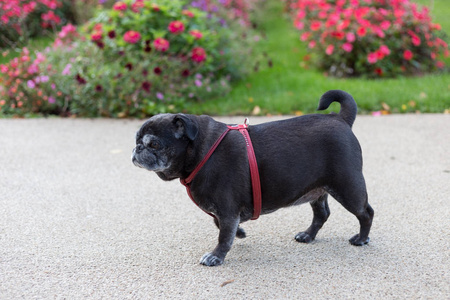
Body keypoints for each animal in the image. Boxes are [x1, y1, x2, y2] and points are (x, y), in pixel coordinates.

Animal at [132, 90, 374, 266]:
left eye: (154, 144)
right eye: (137, 139)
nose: (137, 149)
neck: (202, 151)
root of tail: (340, 119)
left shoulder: (228, 209)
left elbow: (223, 235)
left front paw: (216, 256)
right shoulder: (225, 212)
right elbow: (220, 225)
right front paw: (239, 233)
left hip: (348, 187)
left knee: (366, 213)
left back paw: (361, 239)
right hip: (317, 191)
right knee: (322, 214)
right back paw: (308, 235)